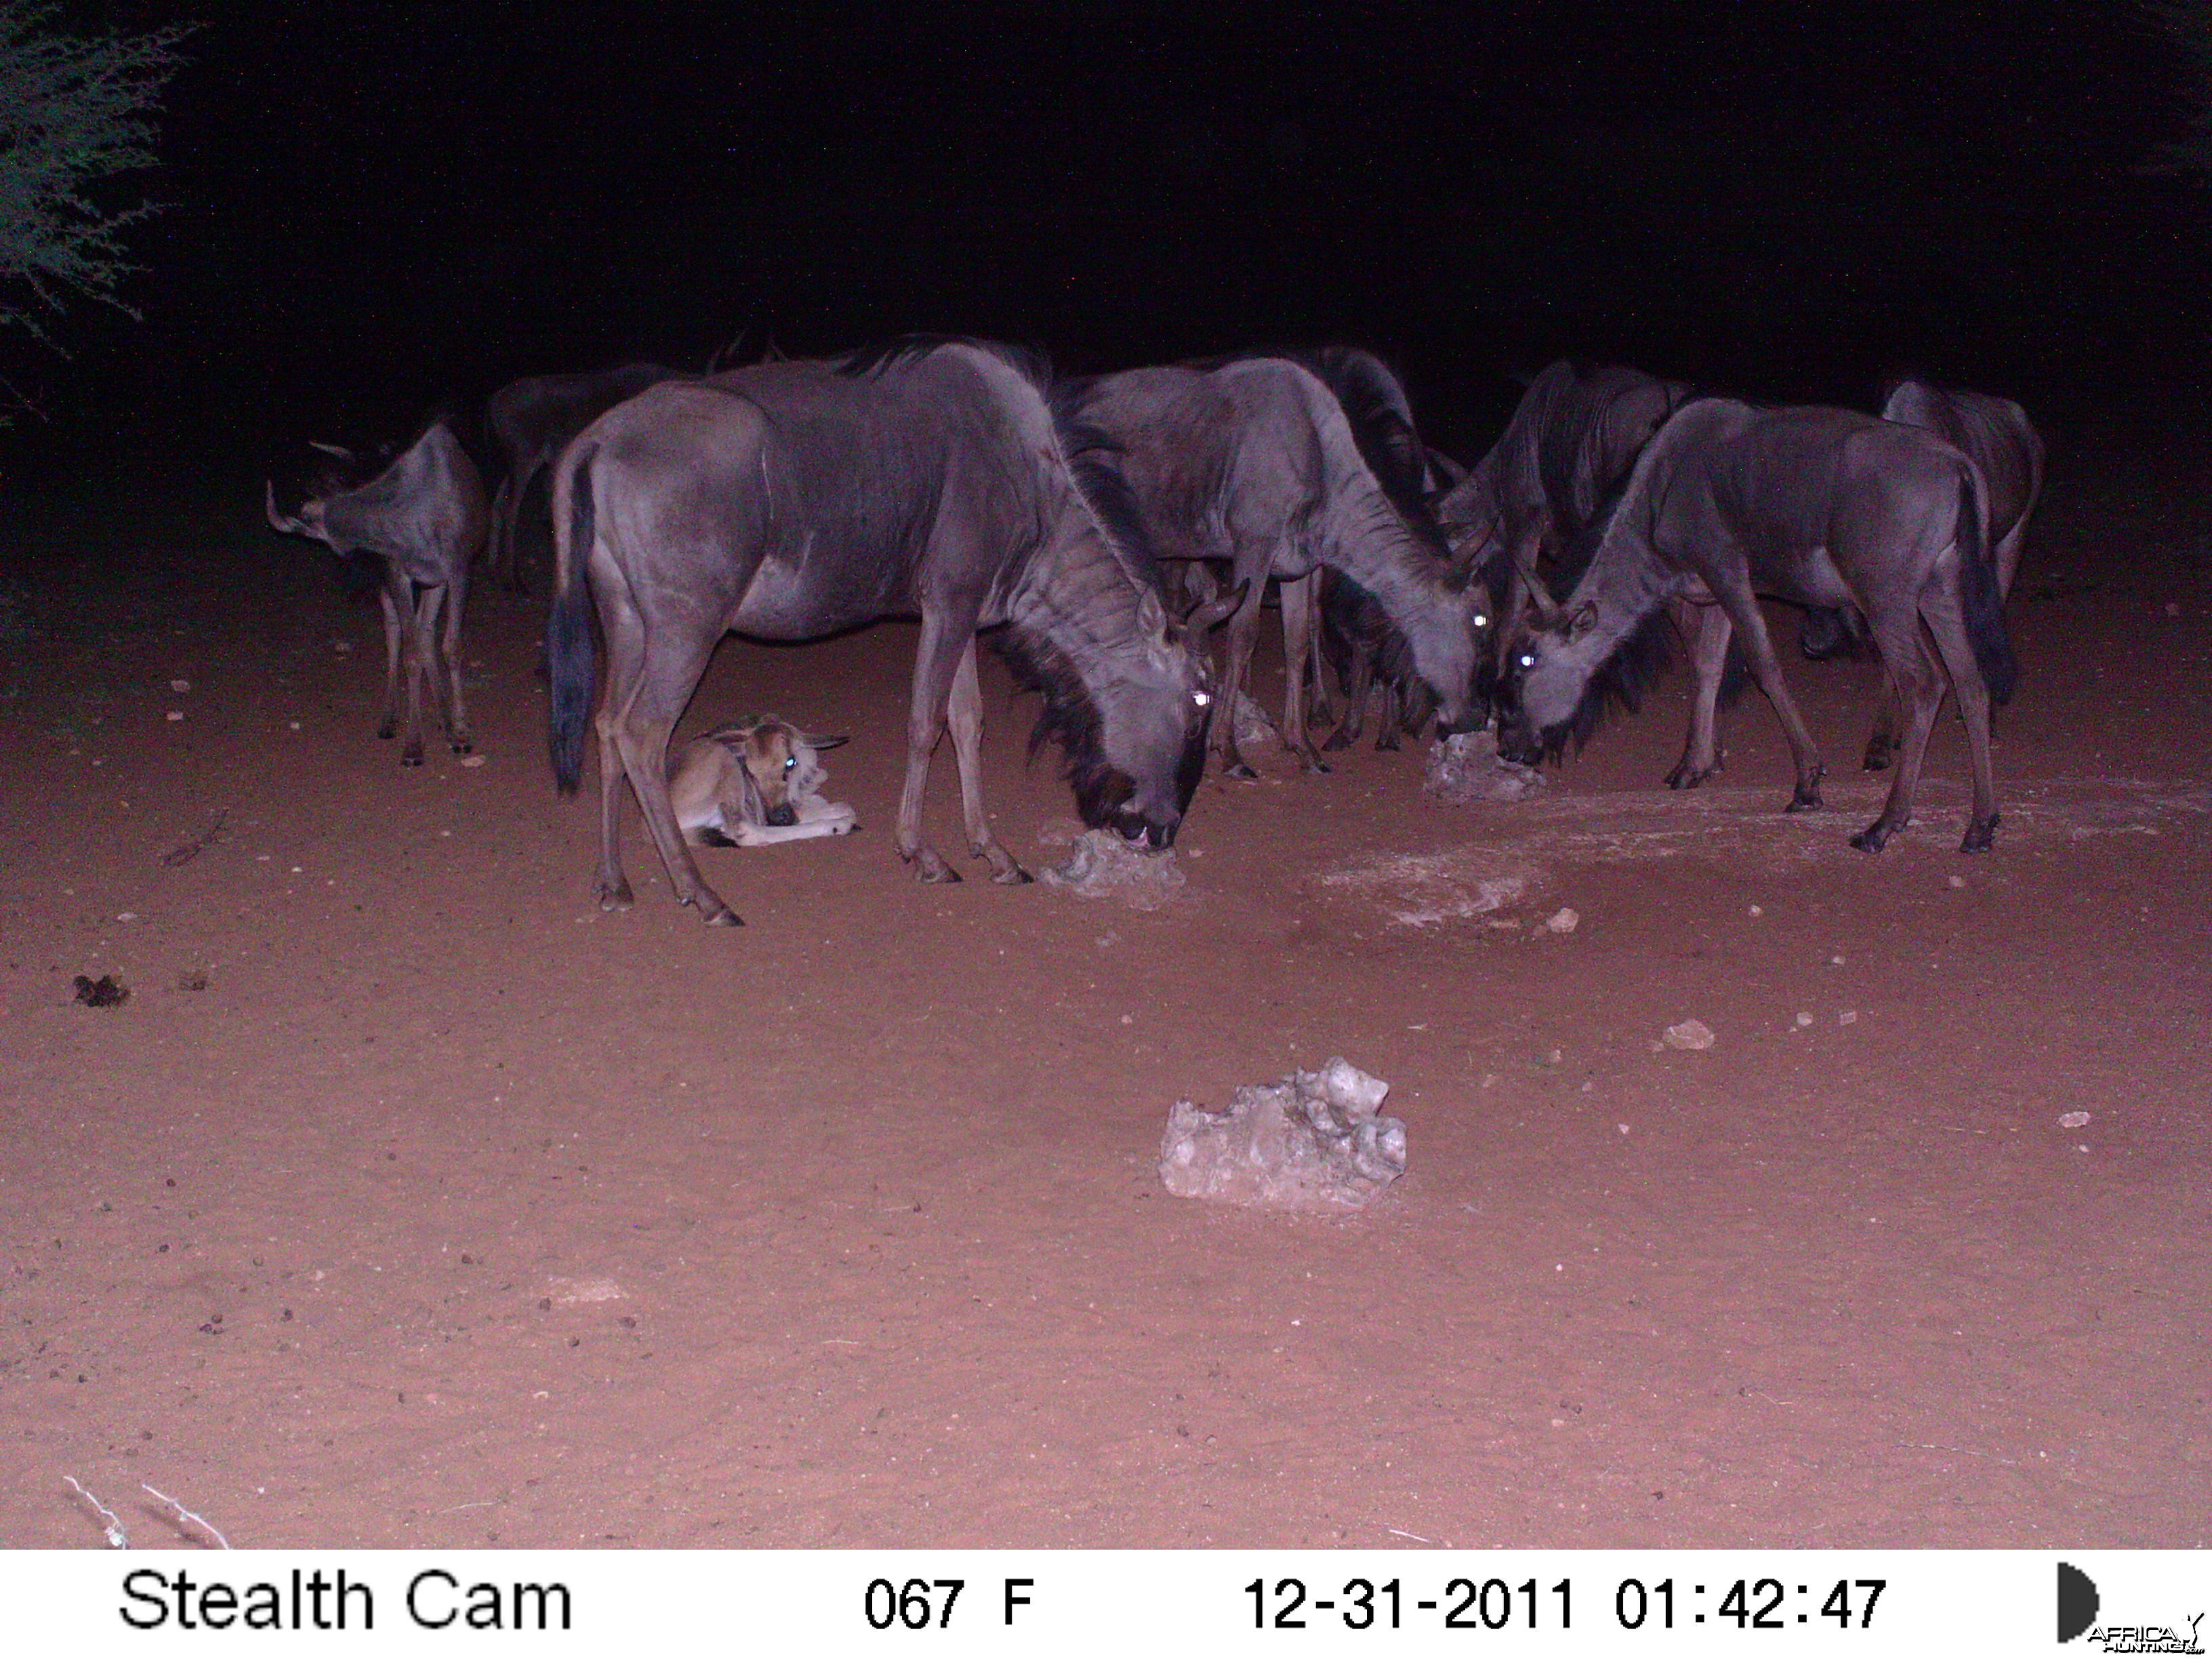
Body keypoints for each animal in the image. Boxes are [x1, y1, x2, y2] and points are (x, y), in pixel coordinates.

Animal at [663, 712, 853, 844]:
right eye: (750, 771)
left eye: (790, 763)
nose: (779, 817)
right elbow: (844, 807)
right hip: (725, 762)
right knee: (747, 831)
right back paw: (838, 826)